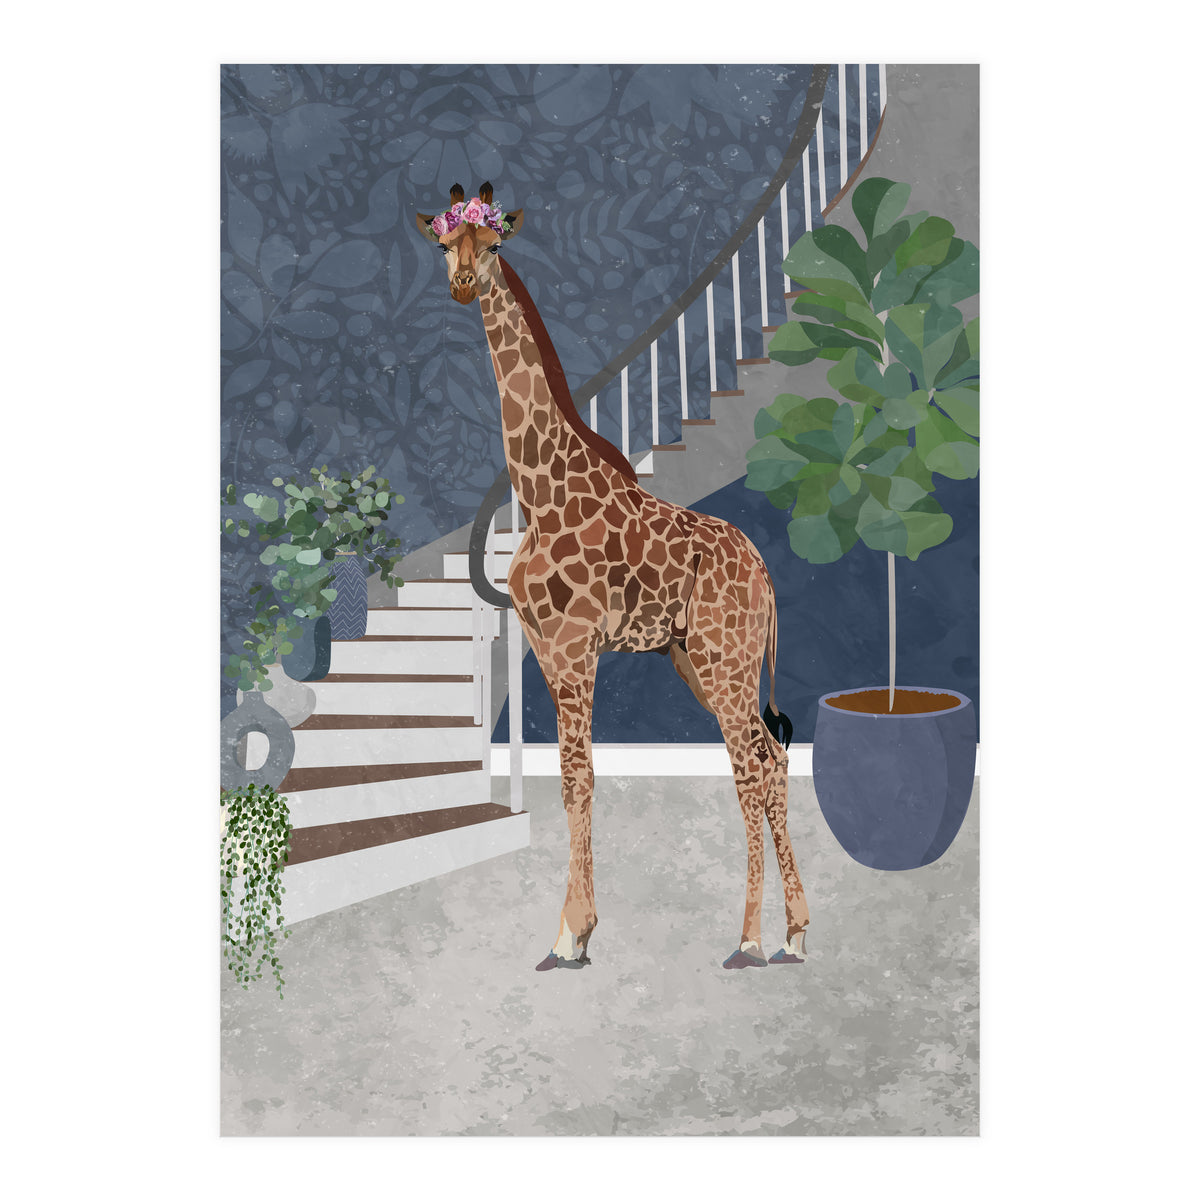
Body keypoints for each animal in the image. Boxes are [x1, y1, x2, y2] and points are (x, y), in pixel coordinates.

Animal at [417, 182, 810, 971]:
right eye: (444, 243)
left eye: (495, 243)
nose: (464, 284)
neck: (539, 491)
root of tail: (764, 572)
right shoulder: (544, 648)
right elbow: (573, 780)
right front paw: (577, 929)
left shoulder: (575, 649)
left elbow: (580, 775)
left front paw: (571, 934)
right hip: (701, 660)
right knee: (772, 758)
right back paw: (794, 933)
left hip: (725, 660)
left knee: (751, 767)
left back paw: (749, 938)